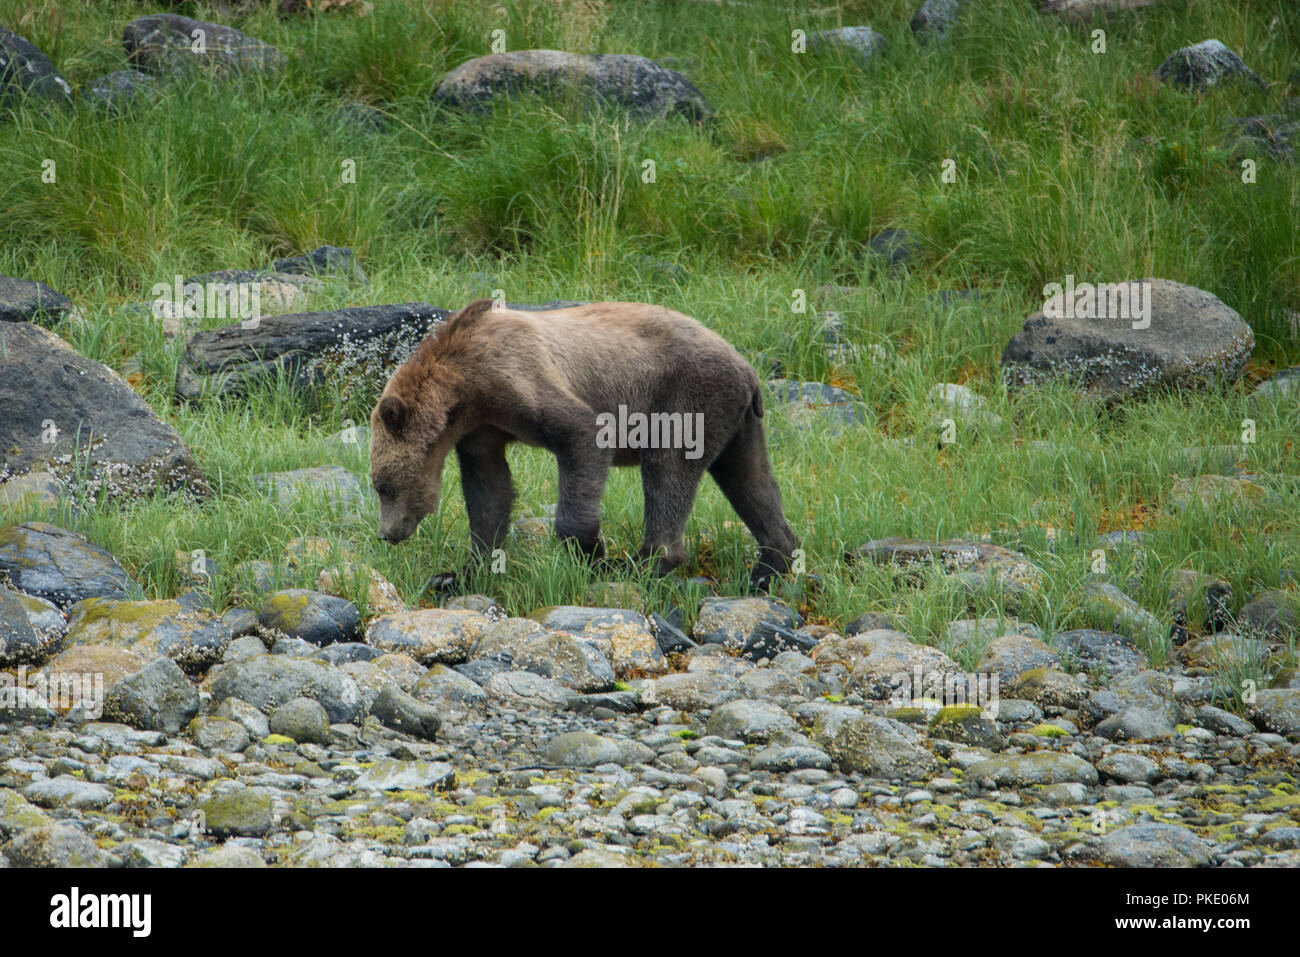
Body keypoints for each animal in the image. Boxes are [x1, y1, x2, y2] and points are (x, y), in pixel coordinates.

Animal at [364, 295, 790, 587]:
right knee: (751, 481)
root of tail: (747, 367)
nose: (386, 533)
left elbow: (582, 435)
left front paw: (591, 551)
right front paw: (462, 572)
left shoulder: (518, 378)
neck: (463, 388)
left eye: (382, 485)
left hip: (685, 397)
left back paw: (645, 564)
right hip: (737, 420)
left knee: (668, 471)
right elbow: (489, 489)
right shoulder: (481, 430)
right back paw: (771, 566)